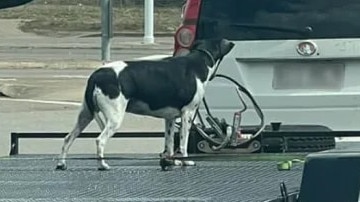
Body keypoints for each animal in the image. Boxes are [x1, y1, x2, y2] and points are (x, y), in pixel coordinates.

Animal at [54, 38, 235, 170]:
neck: (198, 63)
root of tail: (96, 75)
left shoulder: (170, 119)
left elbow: (169, 144)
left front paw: (172, 162)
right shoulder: (187, 114)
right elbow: (183, 143)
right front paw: (185, 161)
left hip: (85, 116)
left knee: (68, 138)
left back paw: (62, 163)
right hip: (114, 118)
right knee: (100, 140)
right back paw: (102, 165)